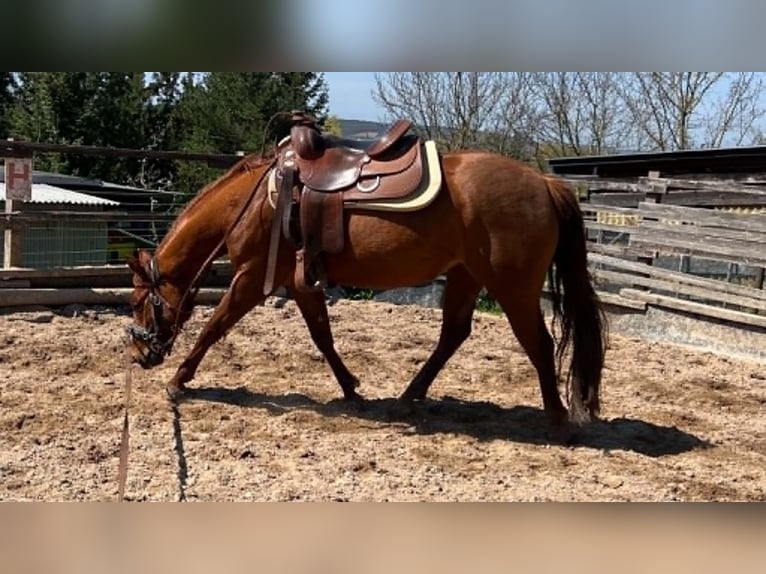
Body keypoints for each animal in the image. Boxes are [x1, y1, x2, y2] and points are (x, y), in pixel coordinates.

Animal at [125, 132, 607, 443]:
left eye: (137, 301)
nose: (140, 354)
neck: (256, 200)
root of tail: (544, 183)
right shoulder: (299, 283)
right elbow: (323, 336)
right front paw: (352, 390)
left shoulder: (252, 279)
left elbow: (214, 327)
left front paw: (179, 380)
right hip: (466, 275)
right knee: (453, 334)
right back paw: (407, 398)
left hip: (512, 287)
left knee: (538, 343)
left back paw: (557, 423)